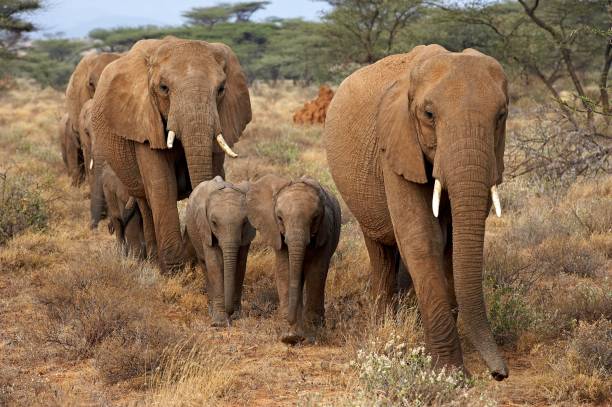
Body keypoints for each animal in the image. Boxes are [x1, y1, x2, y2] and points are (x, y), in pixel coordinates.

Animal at [90, 37, 251, 274]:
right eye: (163, 88)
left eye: (221, 89)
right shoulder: (144, 121)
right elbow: (161, 185)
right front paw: (175, 272)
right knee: (145, 203)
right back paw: (153, 261)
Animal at [185, 176, 255, 328]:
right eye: (214, 222)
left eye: (244, 222)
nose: (230, 316)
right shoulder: (205, 227)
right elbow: (214, 264)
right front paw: (219, 322)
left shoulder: (246, 234)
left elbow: (241, 264)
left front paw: (237, 316)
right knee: (205, 265)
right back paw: (211, 311)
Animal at [246, 175, 342, 344]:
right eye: (279, 218)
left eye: (315, 218)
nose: (293, 336)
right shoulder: (276, 233)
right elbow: (285, 270)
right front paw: (289, 336)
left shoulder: (325, 231)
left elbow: (317, 272)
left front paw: (312, 334)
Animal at [326, 46, 512, 380]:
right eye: (429, 115)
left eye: (501, 115)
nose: (499, 374)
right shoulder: (395, 145)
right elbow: (422, 239)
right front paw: (450, 374)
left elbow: (452, 244)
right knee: (381, 250)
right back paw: (383, 324)